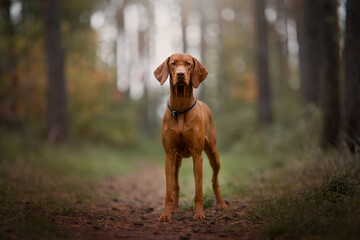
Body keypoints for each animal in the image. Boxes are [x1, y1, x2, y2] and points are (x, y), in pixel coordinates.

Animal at [154, 53, 228, 221]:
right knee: (176, 184)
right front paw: (166, 213)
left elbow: (198, 189)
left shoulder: (197, 155)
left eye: (188, 64)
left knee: (214, 181)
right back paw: (174, 208)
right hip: (177, 159)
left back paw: (221, 204)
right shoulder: (169, 155)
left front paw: (199, 214)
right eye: (173, 63)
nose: (180, 74)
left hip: (214, 155)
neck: (180, 108)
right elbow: (169, 188)